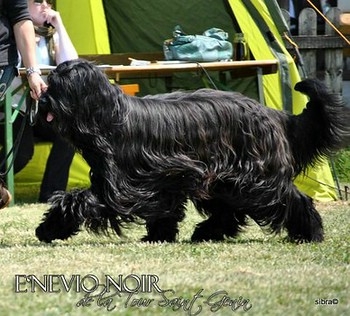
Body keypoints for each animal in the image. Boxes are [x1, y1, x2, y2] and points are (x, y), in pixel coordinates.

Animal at [35, 60, 350, 244]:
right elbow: (165, 209)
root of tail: (273, 113)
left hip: (256, 176)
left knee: (289, 198)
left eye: (59, 86)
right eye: (49, 84)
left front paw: (48, 229)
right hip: (225, 179)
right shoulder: (163, 178)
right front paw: (159, 236)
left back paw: (310, 232)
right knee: (229, 211)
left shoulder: (124, 185)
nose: (42, 100)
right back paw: (205, 233)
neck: (108, 117)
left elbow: (79, 201)